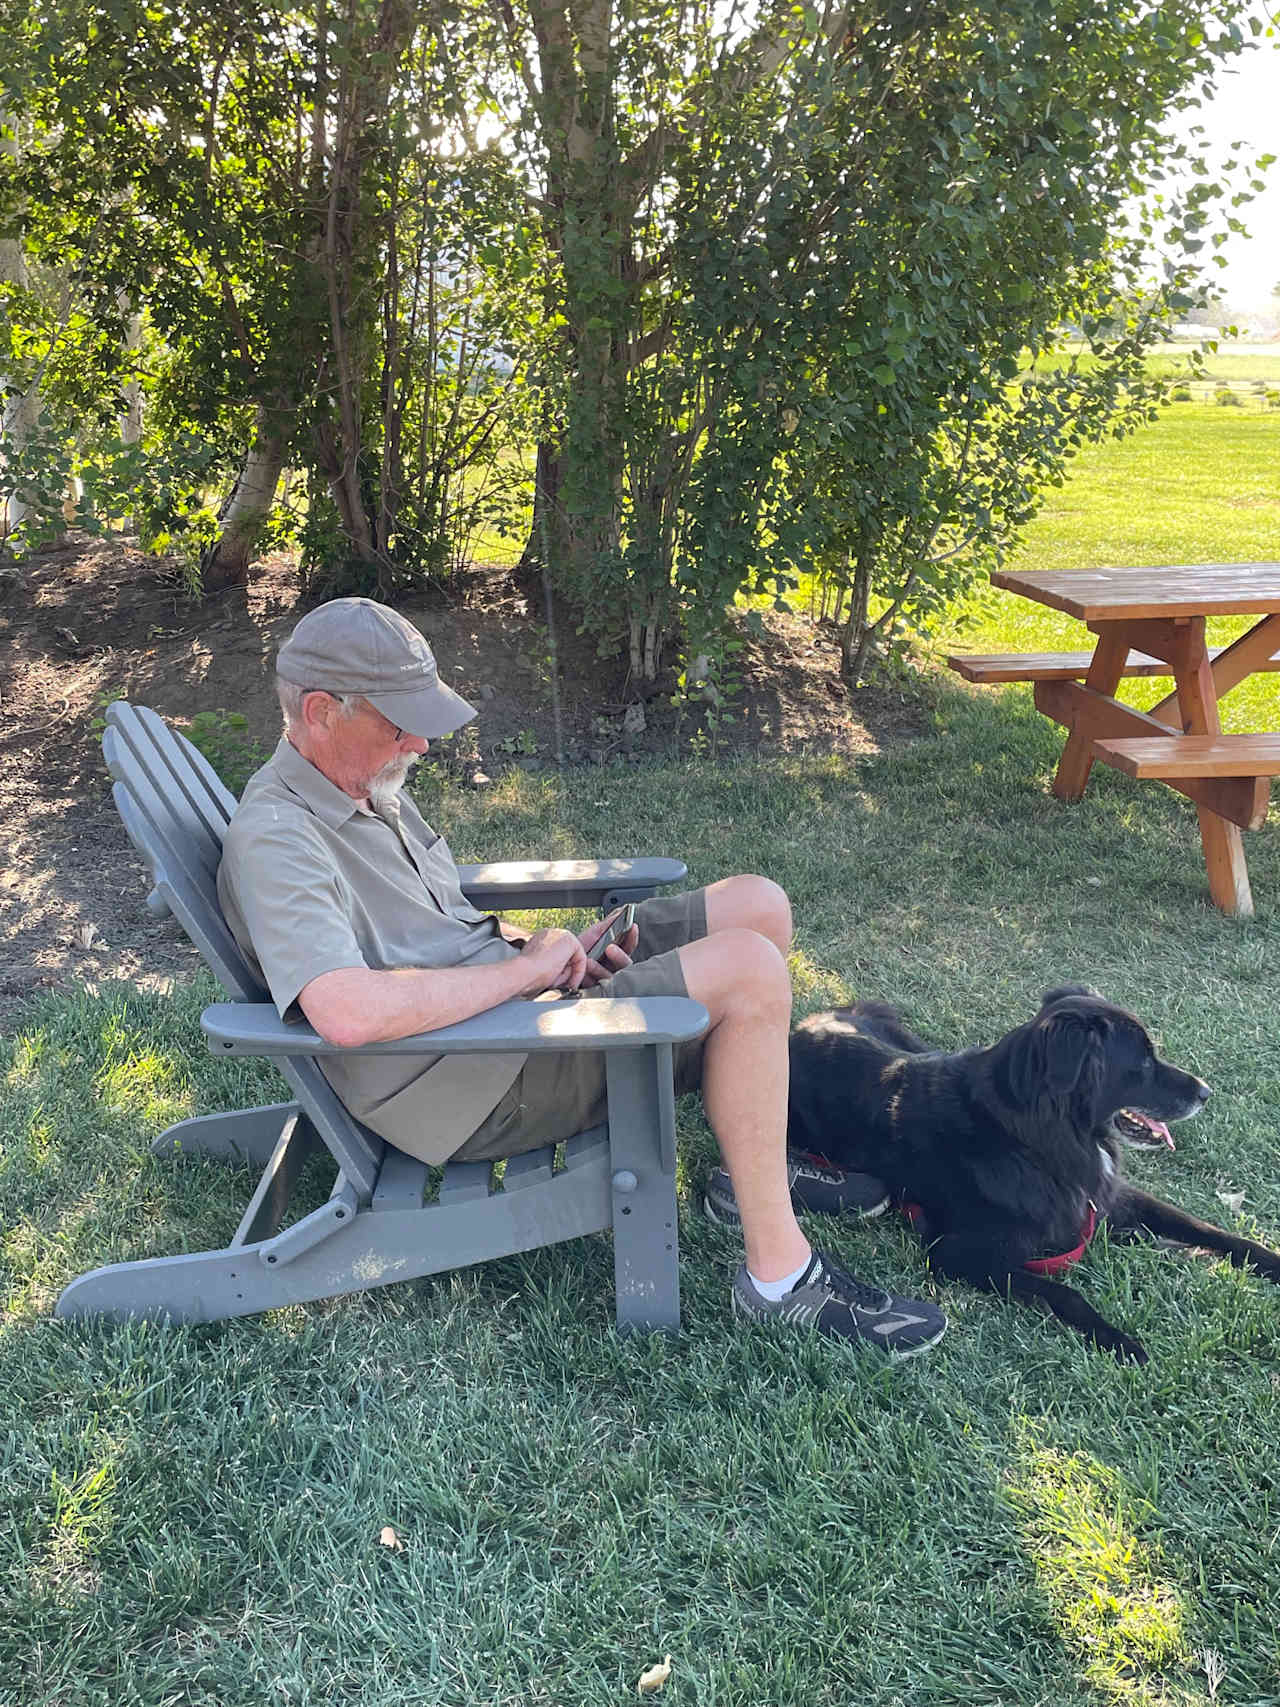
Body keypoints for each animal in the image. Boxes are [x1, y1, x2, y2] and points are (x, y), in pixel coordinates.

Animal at [791, 990, 1280, 1358]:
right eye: (1142, 1063)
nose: (1206, 1092)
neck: (1032, 1138)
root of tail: (804, 1026)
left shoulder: (1111, 1196)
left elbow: (1210, 1230)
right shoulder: (955, 1253)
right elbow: (1064, 1292)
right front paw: (1118, 1339)